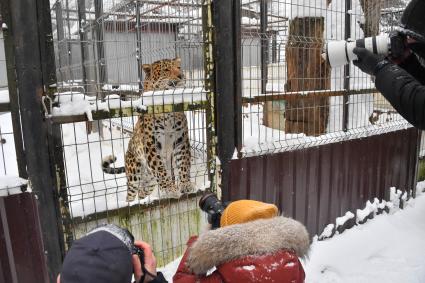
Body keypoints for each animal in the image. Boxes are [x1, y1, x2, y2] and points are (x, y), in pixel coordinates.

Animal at [102, 57, 191, 202]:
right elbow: (161, 170)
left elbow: (183, 163)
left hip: (149, 182)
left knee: (142, 192)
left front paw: (186, 185)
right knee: (131, 194)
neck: (168, 110)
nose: (181, 76)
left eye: (179, 67)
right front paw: (171, 189)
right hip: (134, 174)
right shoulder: (151, 145)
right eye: (166, 69)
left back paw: (144, 200)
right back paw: (132, 203)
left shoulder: (181, 140)